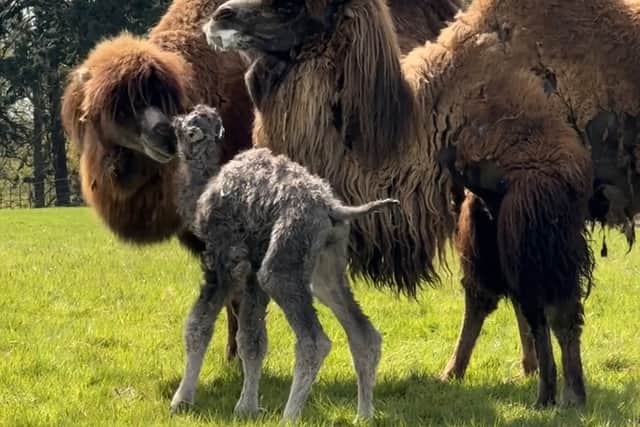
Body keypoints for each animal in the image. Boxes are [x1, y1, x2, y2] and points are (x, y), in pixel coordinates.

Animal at [204, 0, 597, 407]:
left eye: (290, 7)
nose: (221, 16)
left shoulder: (536, 199)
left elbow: (551, 307)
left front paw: (567, 397)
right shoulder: (489, 208)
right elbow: (504, 298)